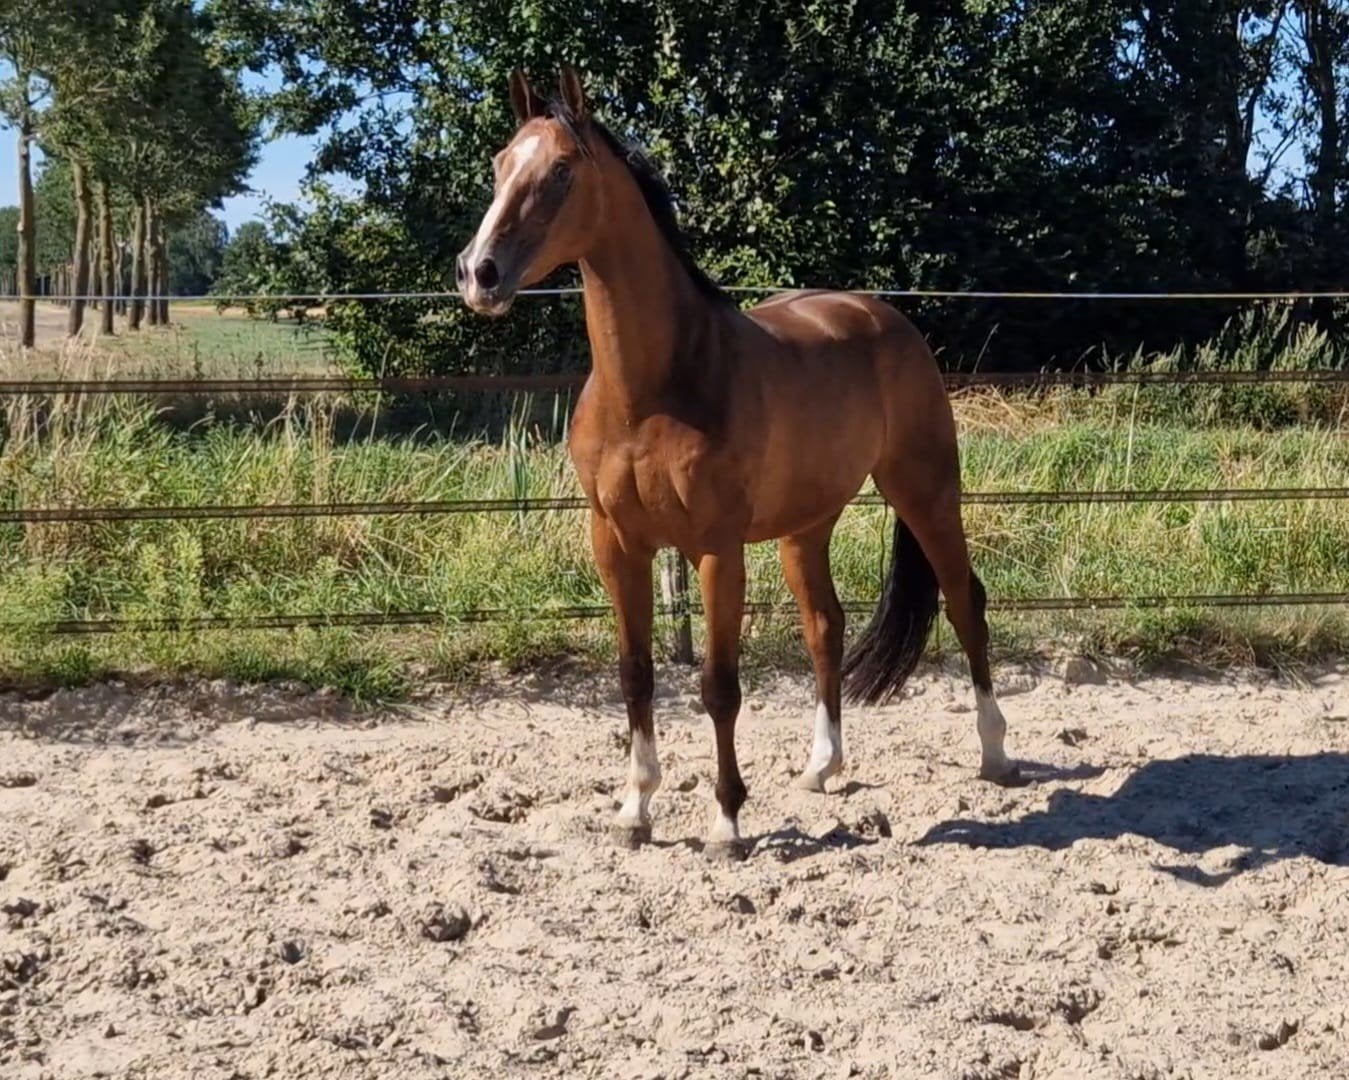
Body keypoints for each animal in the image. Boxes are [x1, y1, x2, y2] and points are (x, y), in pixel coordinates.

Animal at [457, 66, 1019, 860]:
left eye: (561, 170)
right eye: (500, 165)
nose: (479, 274)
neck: (651, 390)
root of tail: (884, 316)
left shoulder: (717, 550)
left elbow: (719, 686)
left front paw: (726, 823)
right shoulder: (616, 544)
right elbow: (635, 676)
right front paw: (635, 810)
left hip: (925, 491)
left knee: (966, 601)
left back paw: (995, 753)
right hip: (806, 525)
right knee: (826, 625)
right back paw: (822, 767)